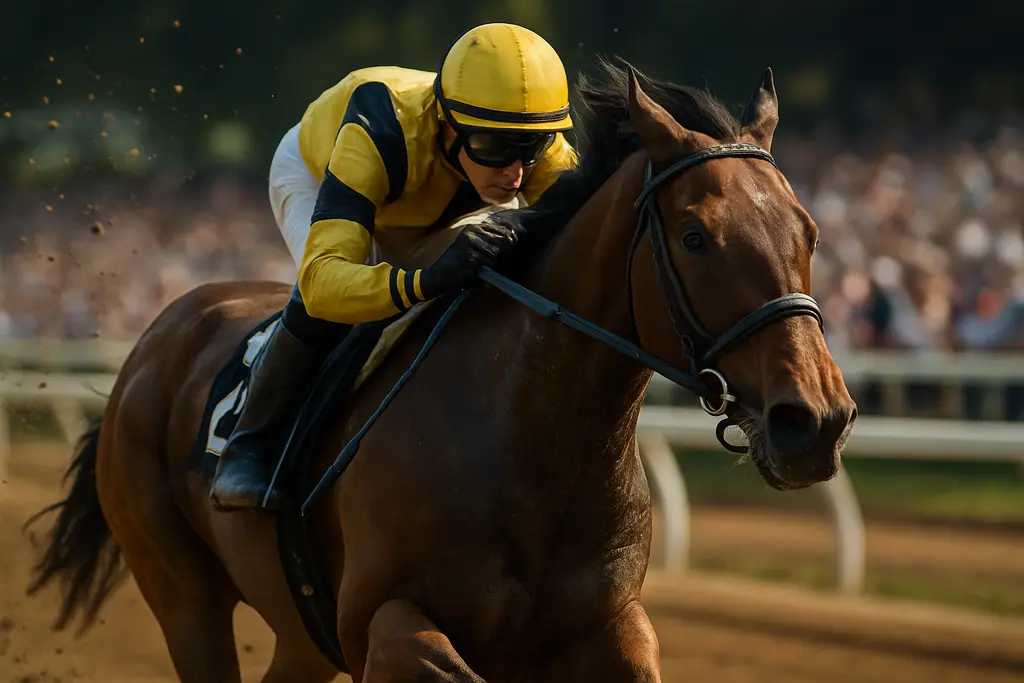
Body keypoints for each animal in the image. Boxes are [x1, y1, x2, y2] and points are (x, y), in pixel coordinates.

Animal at [25, 59, 856, 683]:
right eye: (694, 236)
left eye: (809, 229)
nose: (814, 420)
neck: (534, 444)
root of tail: (158, 334)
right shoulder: (375, 622)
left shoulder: (613, 626)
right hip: (182, 593)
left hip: (296, 630)